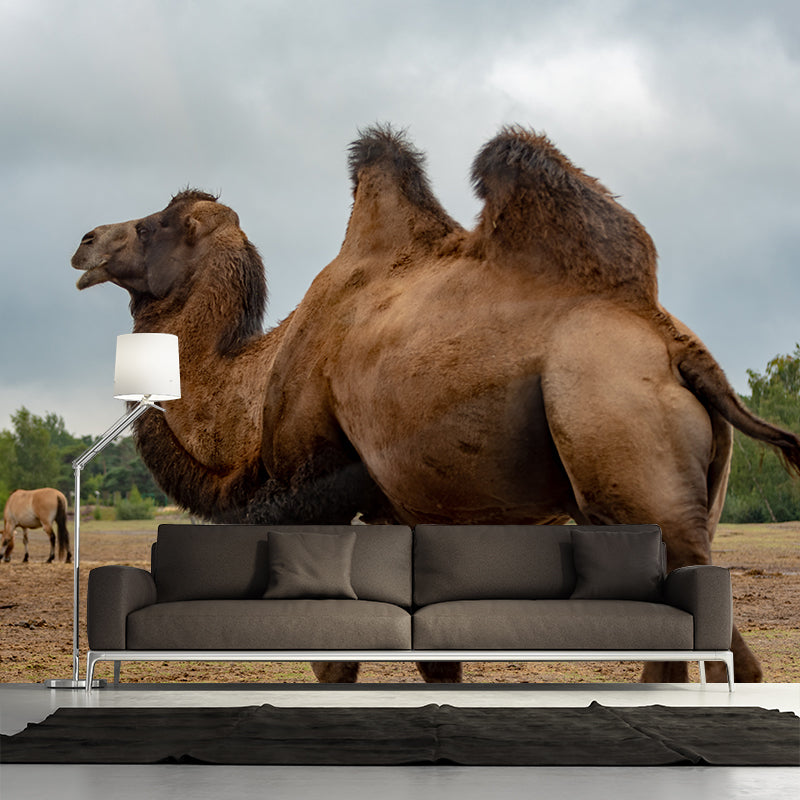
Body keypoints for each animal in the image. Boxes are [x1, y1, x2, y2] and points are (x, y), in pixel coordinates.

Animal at [72, 124, 800, 686]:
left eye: (154, 225)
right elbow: (435, 657)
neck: (258, 378)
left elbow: (333, 659)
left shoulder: (315, 484)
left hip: (624, 441)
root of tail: (675, 344)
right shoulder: (405, 511)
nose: (86, 241)